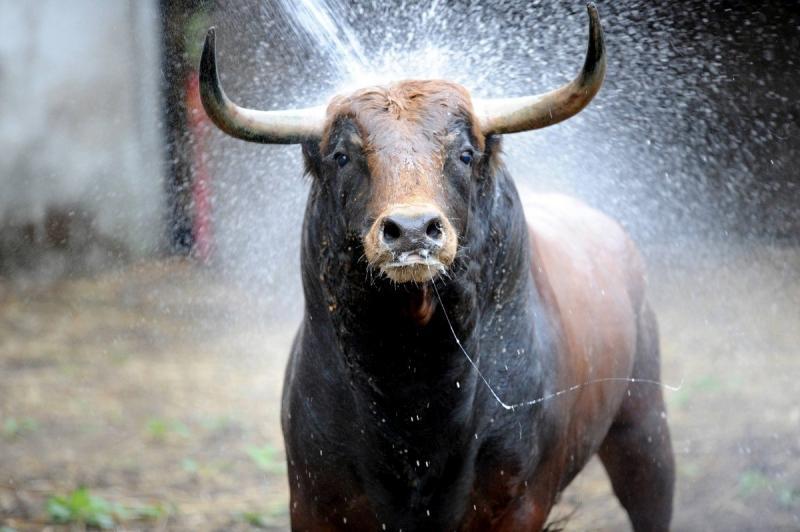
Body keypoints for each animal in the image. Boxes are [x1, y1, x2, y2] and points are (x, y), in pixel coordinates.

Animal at [200, 5, 676, 532]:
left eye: (464, 153)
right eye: (342, 155)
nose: (412, 231)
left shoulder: (517, 505)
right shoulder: (314, 503)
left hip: (644, 432)